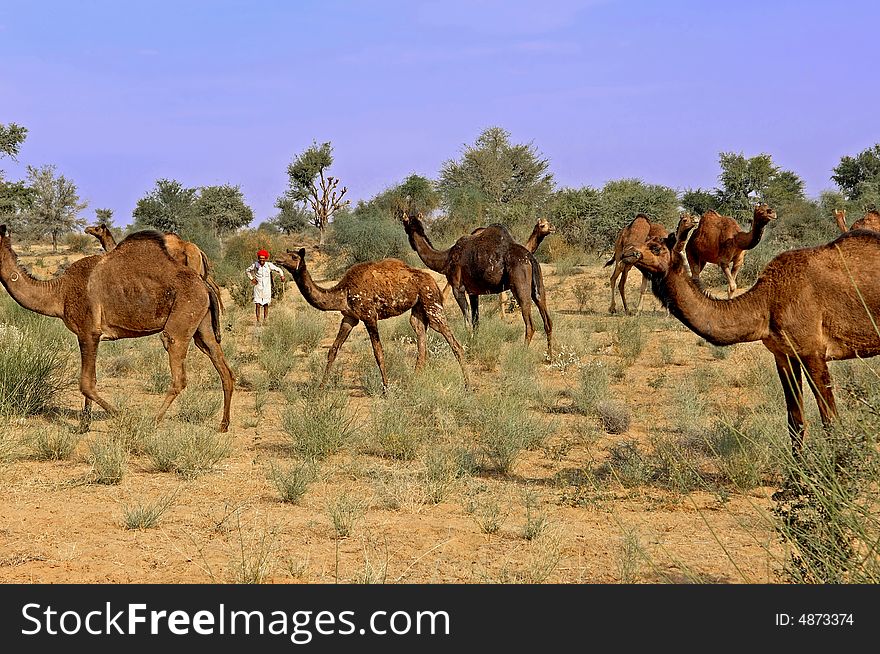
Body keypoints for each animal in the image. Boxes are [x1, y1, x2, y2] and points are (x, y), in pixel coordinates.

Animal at [0, 226, 235, 436]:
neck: (59, 293)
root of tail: (204, 284)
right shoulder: (90, 335)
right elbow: (92, 380)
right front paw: (84, 426)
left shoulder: (88, 332)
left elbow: (86, 383)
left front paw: (122, 417)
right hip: (201, 324)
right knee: (221, 365)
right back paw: (223, 425)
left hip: (181, 319)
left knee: (179, 373)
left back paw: (153, 421)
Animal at [276, 246, 470, 390]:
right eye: (287, 253)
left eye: (293, 256)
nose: (278, 259)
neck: (343, 293)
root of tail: (433, 281)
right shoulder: (349, 318)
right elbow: (333, 350)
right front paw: (320, 388)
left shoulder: (369, 315)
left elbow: (378, 353)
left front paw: (386, 389)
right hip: (418, 309)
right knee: (421, 339)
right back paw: (414, 381)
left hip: (432, 303)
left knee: (454, 342)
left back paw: (468, 386)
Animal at [398, 214, 552, 358]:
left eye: (405, 222)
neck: (445, 259)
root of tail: (530, 258)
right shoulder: (473, 292)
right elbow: (476, 321)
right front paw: (475, 345)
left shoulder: (458, 288)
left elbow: (467, 322)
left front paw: (469, 347)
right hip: (538, 285)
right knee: (547, 319)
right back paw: (550, 356)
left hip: (520, 285)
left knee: (530, 324)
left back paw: (522, 353)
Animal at [624, 213, 880, 454]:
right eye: (645, 242)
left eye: (655, 248)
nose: (628, 252)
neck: (767, 301)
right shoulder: (783, 355)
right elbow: (795, 422)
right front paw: (795, 472)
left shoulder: (813, 352)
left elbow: (831, 423)